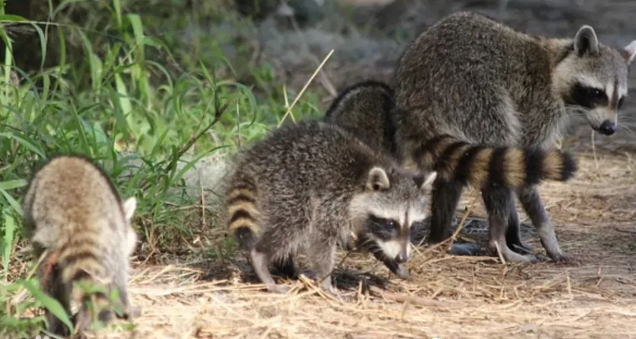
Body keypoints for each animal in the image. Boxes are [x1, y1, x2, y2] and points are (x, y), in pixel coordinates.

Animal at [23, 157, 138, 338]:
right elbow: (118, 278)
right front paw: (124, 306)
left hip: (43, 236)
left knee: (49, 283)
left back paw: (58, 323)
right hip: (108, 236)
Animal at [225, 121, 438, 294]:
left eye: (412, 226)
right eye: (391, 223)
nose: (402, 257)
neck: (363, 178)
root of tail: (256, 157)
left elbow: (367, 238)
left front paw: (389, 259)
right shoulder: (334, 198)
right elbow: (321, 238)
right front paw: (326, 281)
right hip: (287, 182)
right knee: (296, 220)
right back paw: (261, 259)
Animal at [392, 11, 636, 262]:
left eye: (620, 100)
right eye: (597, 93)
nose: (609, 128)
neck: (555, 64)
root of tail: (417, 95)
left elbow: (514, 165)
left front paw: (515, 233)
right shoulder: (535, 105)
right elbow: (523, 173)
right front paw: (546, 235)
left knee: (459, 169)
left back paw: (439, 239)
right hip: (474, 93)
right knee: (497, 153)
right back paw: (497, 244)